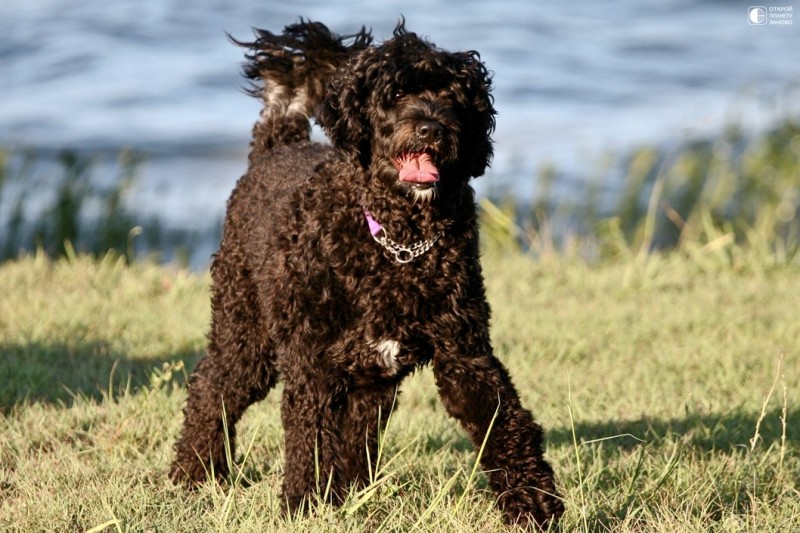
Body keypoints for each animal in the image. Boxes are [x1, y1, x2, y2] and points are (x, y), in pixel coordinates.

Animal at [170, 19, 564, 528]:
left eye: (454, 96)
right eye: (395, 94)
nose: (432, 127)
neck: (396, 244)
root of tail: (278, 146)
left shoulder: (464, 352)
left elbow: (503, 420)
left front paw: (533, 501)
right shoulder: (313, 364)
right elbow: (310, 437)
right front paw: (305, 505)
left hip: (366, 380)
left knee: (355, 434)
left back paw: (353, 491)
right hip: (247, 333)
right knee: (211, 387)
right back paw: (195, 473)